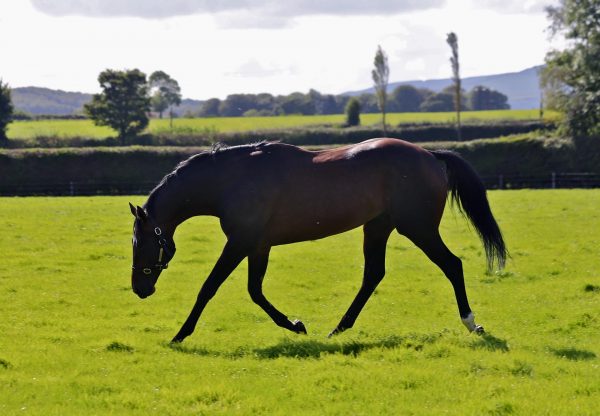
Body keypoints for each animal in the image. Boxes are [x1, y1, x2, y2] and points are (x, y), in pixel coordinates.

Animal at [130, 138, 506, 342]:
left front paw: (180, 334)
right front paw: (295, 325)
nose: (139, 289)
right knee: (373, 275)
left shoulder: (239, 242)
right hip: (378, 227)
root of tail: (430, 155)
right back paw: (339, 328)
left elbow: (209, 287)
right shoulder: (257, 245)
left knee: (451, 264)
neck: (231, 179)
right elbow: (255, 291)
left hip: (417, 228)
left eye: (140, 243)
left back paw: (472, 323)